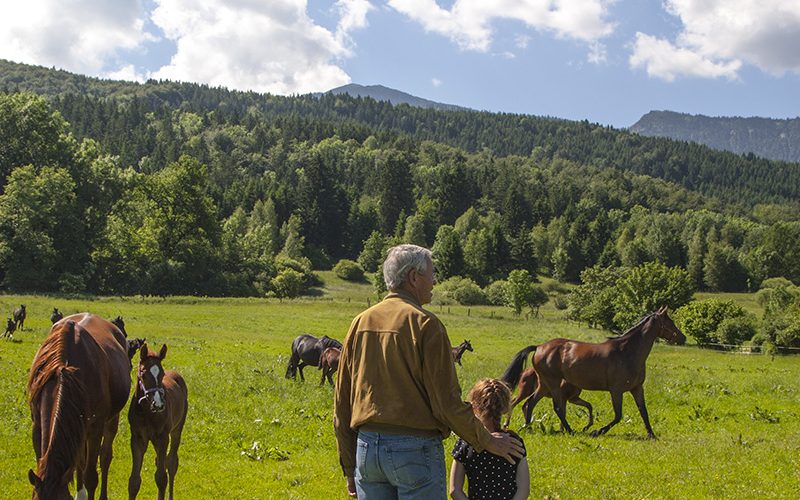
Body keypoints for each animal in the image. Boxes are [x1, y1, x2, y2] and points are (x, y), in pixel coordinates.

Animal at [26, 314, 130, 500]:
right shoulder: (36, 426)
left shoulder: (95, 428)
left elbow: (91, 476)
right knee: (80, 460)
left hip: (110, 420)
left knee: (105, 457)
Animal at [130, 344, 189, 500]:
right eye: (143, 374)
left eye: (161, 374)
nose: (158, 404)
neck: (147, 412)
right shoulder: (137, 439)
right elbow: (134, 481)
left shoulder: (163, 438)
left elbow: (161, 478)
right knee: (159, 461)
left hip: (176, 430)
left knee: (171, 462)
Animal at [536, 304, 684, 438]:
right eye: (670, 322)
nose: (683, 337)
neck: (627, 353)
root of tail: (539, 347)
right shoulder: (616, 390)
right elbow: (618, 416)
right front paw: (597, 431)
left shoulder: (637, 388)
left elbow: (643, 411)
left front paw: (651, 434)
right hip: (553, 383)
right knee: (558, 408)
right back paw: (571, 430)